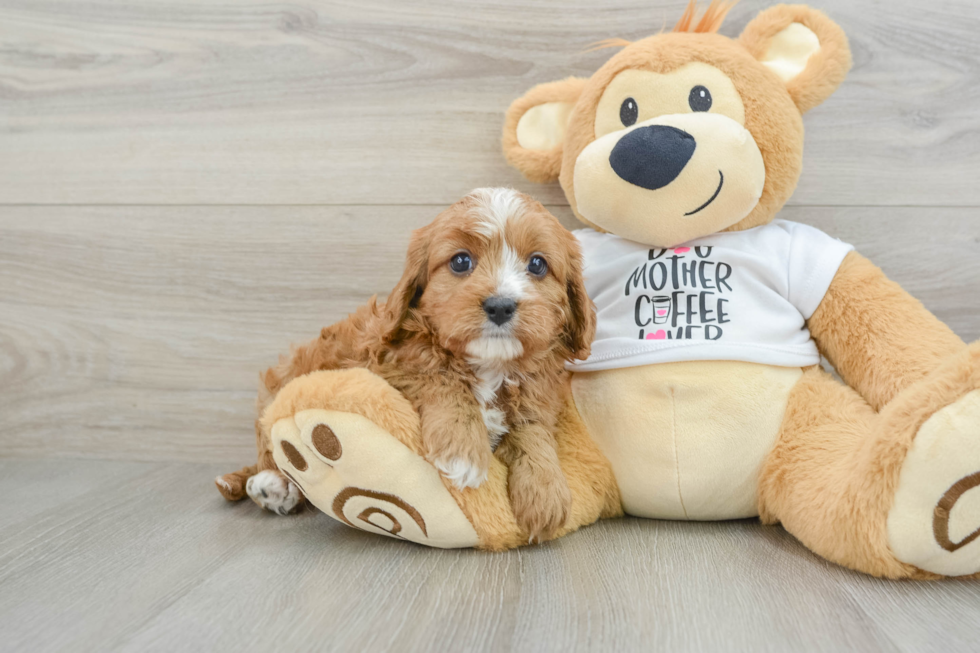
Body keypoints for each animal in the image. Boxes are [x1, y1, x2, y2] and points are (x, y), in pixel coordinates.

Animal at [217, 187, 592, 540]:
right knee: (266, 454)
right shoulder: (386, 365)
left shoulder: (535, 393)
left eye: (537, 265)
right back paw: (272, 485)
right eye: (460, 261)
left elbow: (533, 430)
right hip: (277, 390)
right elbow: (439, 377)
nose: (500, 306)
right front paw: (463, 452)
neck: (490, 364)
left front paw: (545, 492)